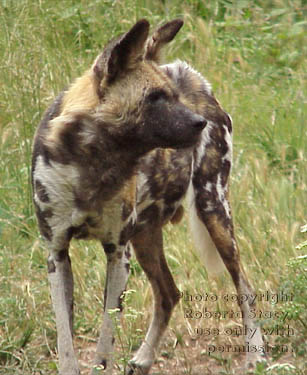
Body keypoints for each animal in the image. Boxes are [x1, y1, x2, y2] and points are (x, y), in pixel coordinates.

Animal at [32, 19, 266, 375]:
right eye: (155, 98)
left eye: (172, 96)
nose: (199, 123)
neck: (93, 161)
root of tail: (190, 75)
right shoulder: (57, 254)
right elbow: (65, 341)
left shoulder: (117, 253)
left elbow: (105, 341)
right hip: (146, 237)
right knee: (169, 294)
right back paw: (143, 358)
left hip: (213, 211)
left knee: (244, 287)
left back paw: (256, 356)